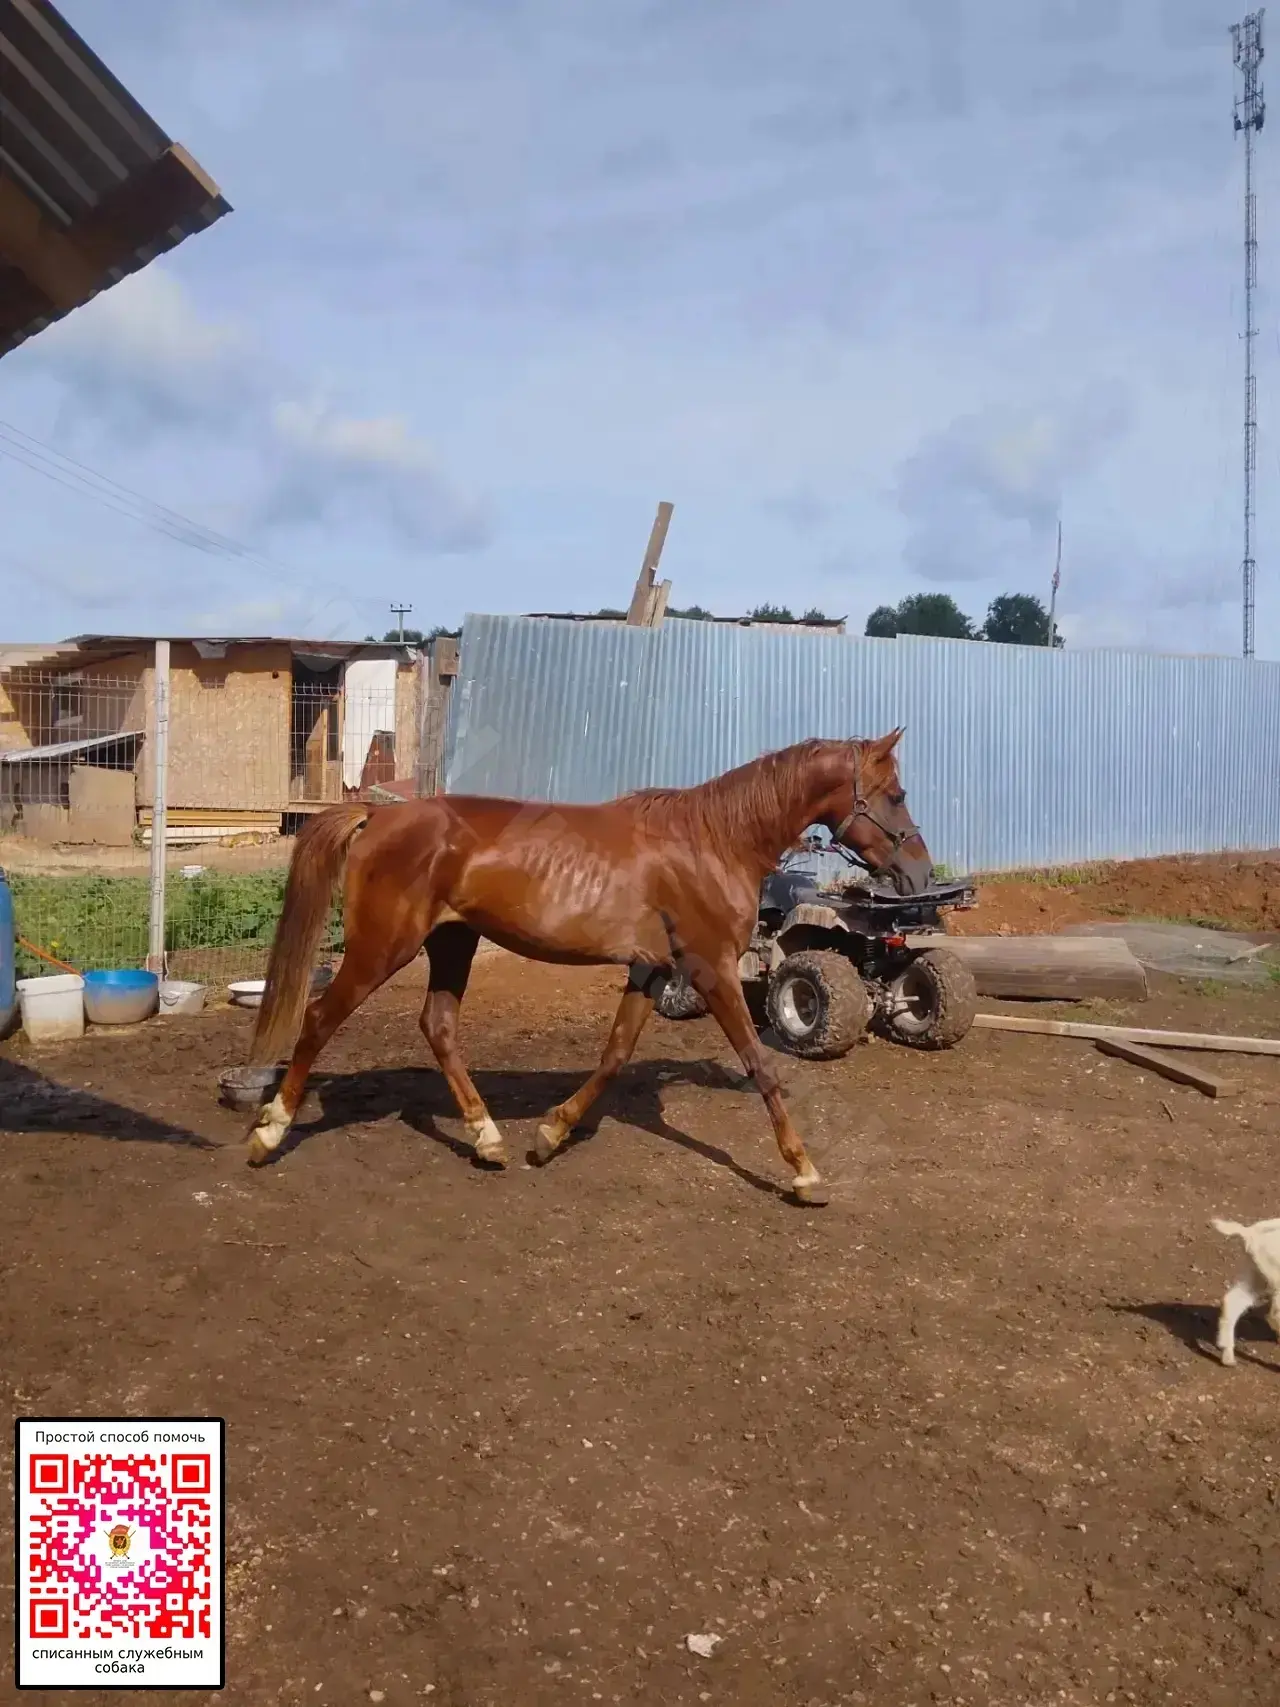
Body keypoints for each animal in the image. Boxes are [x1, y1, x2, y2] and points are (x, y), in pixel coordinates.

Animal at [242, 730, 933, 1204]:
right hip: (384, 948)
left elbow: (614, 1054)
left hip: (452, 944)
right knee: (319, 1018)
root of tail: (380, 814)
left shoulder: (650, 970)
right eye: (895, 795)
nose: (920, 875)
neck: (713, 842)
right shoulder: (711, 969)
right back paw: (270, 1132)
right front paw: (804, 1171)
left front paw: (551, 1135)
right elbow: (761, 1065)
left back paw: (487, 1137)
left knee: (437, 1027)